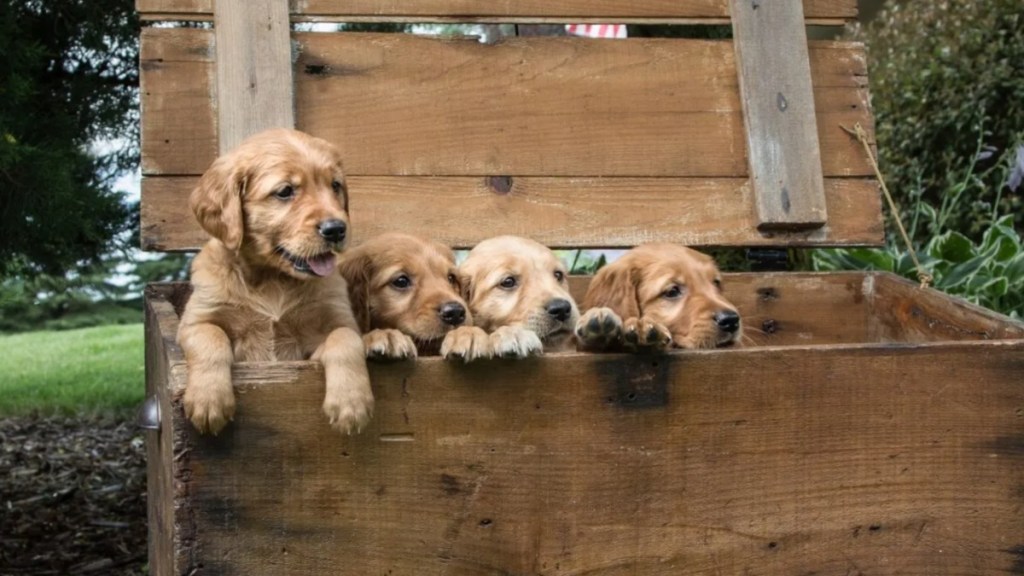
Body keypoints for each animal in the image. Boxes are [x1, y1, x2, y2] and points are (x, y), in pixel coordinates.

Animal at [178, 129, 374, 434]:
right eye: (285, 191)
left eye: (335, 185)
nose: (336, 229)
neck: (273, 279)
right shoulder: (194, 322)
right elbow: (211, 337)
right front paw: (208, 401)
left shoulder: (326, 332)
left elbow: (345, 339)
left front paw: (351, 404)